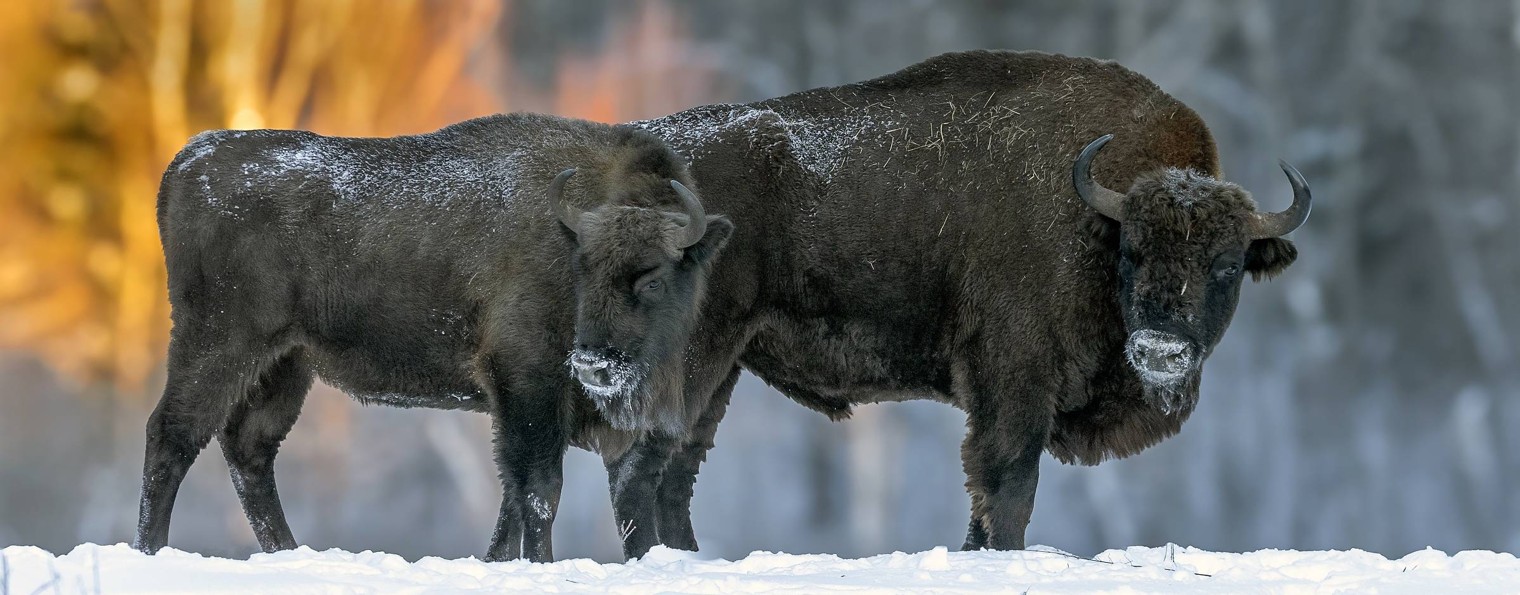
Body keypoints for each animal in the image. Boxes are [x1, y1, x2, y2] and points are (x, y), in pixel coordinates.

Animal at [132, 113, 729, 563]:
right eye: (583, 267)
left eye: (653, 277)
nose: (593, 365)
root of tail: (190, 158)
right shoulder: (527, 381)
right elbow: (539, 490)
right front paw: (539, 564)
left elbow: (515, 491)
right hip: (218, 344)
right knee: (172, 435)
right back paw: (150, 550)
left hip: (285, 362)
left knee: (249, 448)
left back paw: (287, 552)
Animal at [565, 50, 1313, 553]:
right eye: (1132, 251)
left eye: (1226, 264)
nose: (1161, 350)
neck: (1094, 215)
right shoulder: (1015, 383)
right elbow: (1008, 483)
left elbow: (984, 497)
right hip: (692, 356)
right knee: (639, 465)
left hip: (724, 366)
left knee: (676, 469)